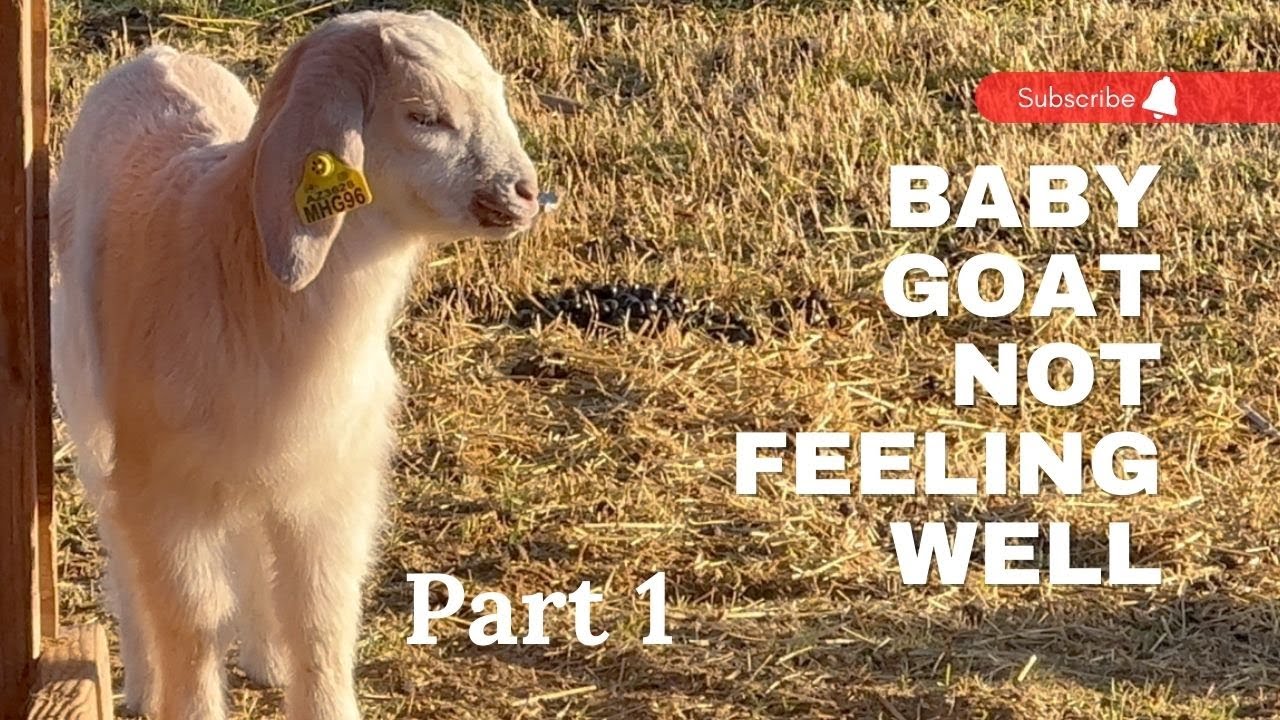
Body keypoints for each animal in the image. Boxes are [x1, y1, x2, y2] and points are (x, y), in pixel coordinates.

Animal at [50, 10, 539, 719]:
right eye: (424, 116)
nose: (525, 193)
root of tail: (157, 54)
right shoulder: (166, 489)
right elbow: (191, 622)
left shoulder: (331, 486)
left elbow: (321, 617)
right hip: (90, 416)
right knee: (121, 545)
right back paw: (142, 685)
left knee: (254, 549)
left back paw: (267, 660)